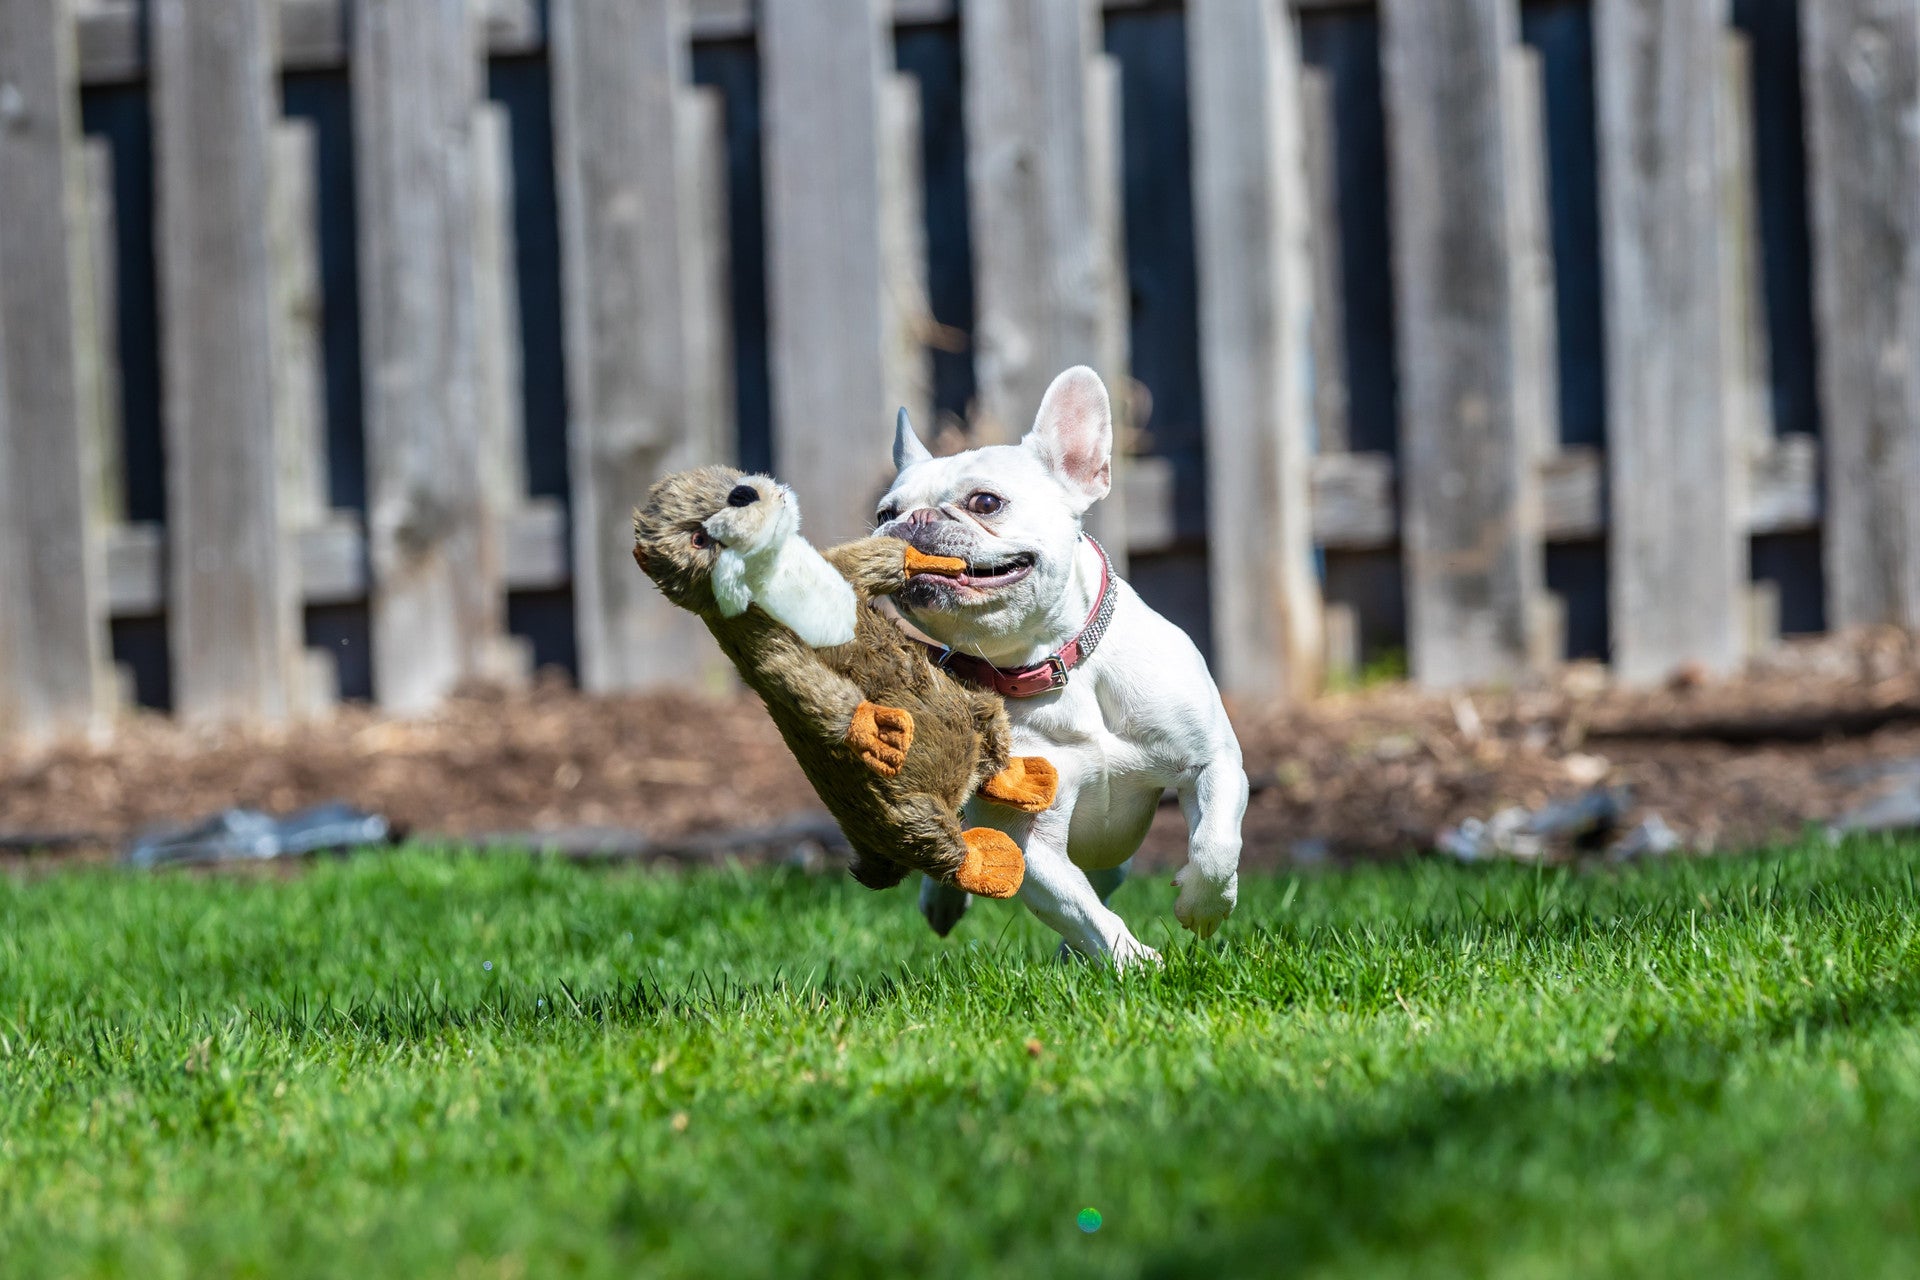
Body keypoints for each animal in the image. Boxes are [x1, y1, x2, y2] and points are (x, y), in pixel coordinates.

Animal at [875, 364, 1244, 967]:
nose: (909, 522)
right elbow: (1083, 910)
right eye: (884, 512)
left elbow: (1215, 844)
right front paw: (1136, 964)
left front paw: (1202, 905)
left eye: (985, 502)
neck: (1050, 662)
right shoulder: (1027, 841)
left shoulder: (1212, 762)